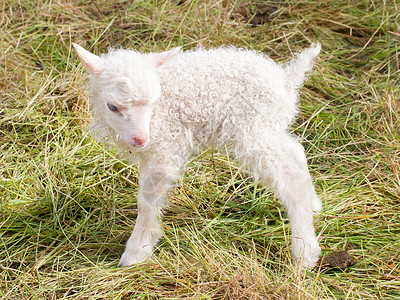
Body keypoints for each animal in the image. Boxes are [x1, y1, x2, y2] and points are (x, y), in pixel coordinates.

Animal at [72, 41, 322, 268]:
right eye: (112, 107)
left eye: (153, 102)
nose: (140, 139)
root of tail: (286, 79)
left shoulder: (165, 148)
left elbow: (147, 201)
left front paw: (137, 251)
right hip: (269, 126)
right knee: (296, 152)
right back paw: (314, 205)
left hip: (254, 130)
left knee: (292, 180)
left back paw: (305, 254)